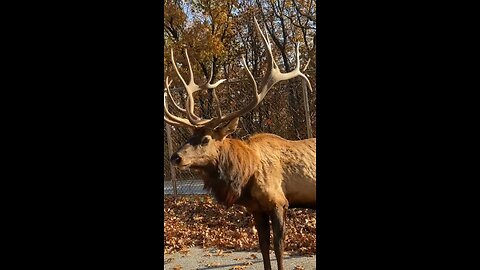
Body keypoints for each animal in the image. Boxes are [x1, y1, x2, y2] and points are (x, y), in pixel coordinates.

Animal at [163, 17, 316, 270]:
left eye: (205, 139)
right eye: (189, 136)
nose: (175, 157)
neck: (245, 175)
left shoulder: (279, 202)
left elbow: (278, 248)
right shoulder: (255, 208)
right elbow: (263, 247)